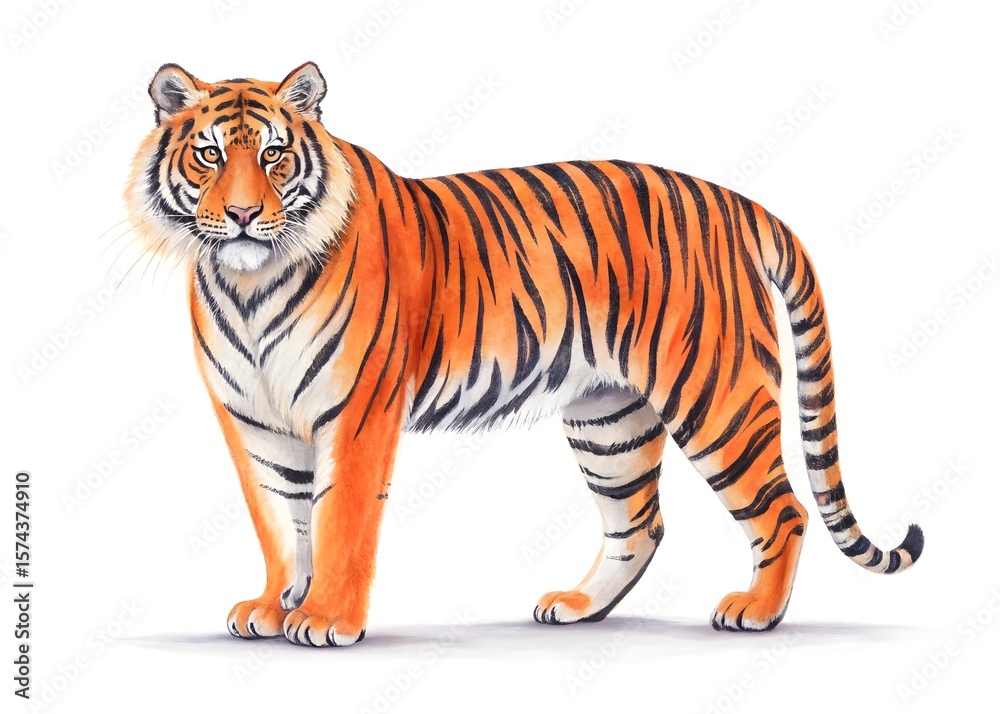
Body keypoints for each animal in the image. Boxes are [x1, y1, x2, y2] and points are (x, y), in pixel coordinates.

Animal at [125, 62, 923, 647]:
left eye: (274, 156)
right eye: (208, 155)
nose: (242, 215)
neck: (249, 284)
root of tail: (739, 203)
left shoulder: (356, 413)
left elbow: (339, 520)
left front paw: (324, 620)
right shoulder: (254, 423)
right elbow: (279, 522)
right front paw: (273, 606)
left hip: (716, 396)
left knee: (783, 508)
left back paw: (755, 611)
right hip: (609, 418)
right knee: (639, 523)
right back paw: (577, 606)